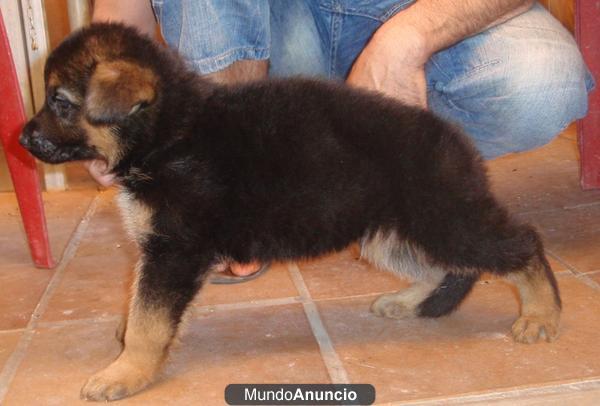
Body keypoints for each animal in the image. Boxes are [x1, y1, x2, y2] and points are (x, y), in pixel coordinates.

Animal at [19, 23, 564, 402]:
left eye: (60, 102)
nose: (21, 139)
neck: (169, 134)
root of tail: (454, 140)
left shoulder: (174, 251)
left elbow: (151, 321)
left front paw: (128, 370)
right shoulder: (162, 253)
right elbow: (143, 306)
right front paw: (131, 339)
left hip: (444, 219)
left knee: (523, 244)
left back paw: (541, 314)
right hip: (388, 234)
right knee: (440, 267)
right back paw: (408, 303)